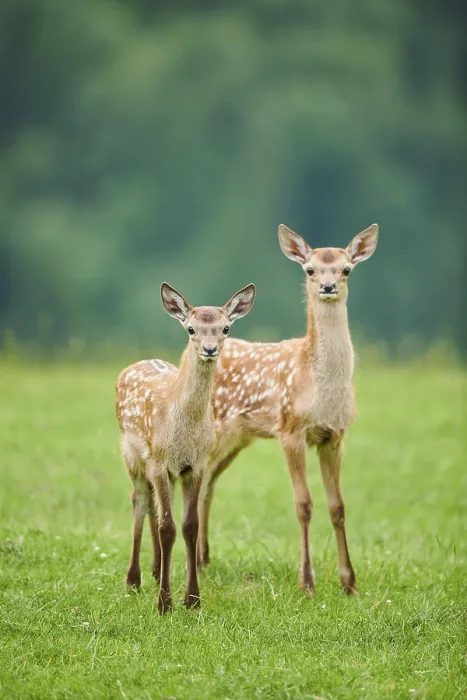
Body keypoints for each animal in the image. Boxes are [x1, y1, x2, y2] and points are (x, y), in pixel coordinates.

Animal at [116, 282, 256, 614]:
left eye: (226, 328)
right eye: (191, 328)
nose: (210, 349)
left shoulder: (196, 464)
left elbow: (190, 525)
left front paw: (192, 599)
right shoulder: (159, 460)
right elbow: (168, 528)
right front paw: (164, 603)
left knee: (151, 504)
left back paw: (155, 571)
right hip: (132, 453)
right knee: (139, 500)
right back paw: (134, 579)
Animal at [198, 223, 379, 595]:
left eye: (346, 269)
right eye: (309, 269)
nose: (328, 286)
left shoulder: (334, 437)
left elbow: (338, 506)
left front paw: (349, 582)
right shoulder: (291, 430)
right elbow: (304, 504)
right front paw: (307, 582)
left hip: (236, 439)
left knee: (207, 484)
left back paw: (204, 560)